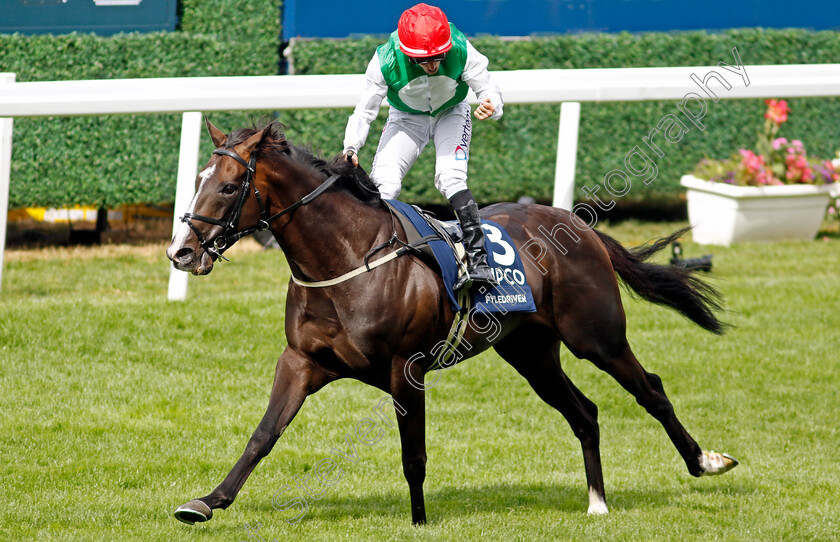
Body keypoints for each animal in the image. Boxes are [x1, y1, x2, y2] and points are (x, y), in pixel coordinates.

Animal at [164, 120, 736, 528]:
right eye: (196, 182)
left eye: (230, 187)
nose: (181, 251)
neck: (347, 256)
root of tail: (578, 223)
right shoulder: (302, 360)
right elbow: (263, 434)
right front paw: (207, 501)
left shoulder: (406, 368)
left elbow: (412, 453)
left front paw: (419, 521)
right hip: (530, 353)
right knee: (585, 412)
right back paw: (596, 502)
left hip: (597, 337)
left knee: (651, 390)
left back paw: (704, 461)